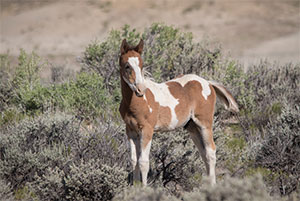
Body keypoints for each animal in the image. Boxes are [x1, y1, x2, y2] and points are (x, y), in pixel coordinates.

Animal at [118, 38, 238, 186]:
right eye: (127, 66)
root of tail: (208, 83)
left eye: (141, 65)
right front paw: (135, 188)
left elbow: (143, 162)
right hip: (192, 127)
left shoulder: (147, 130)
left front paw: (144, 188)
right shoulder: (130, 130)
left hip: (204, 124)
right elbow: (133, 161)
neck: (135, 103)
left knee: (211, 152)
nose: (140, 90)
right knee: (204, 153)